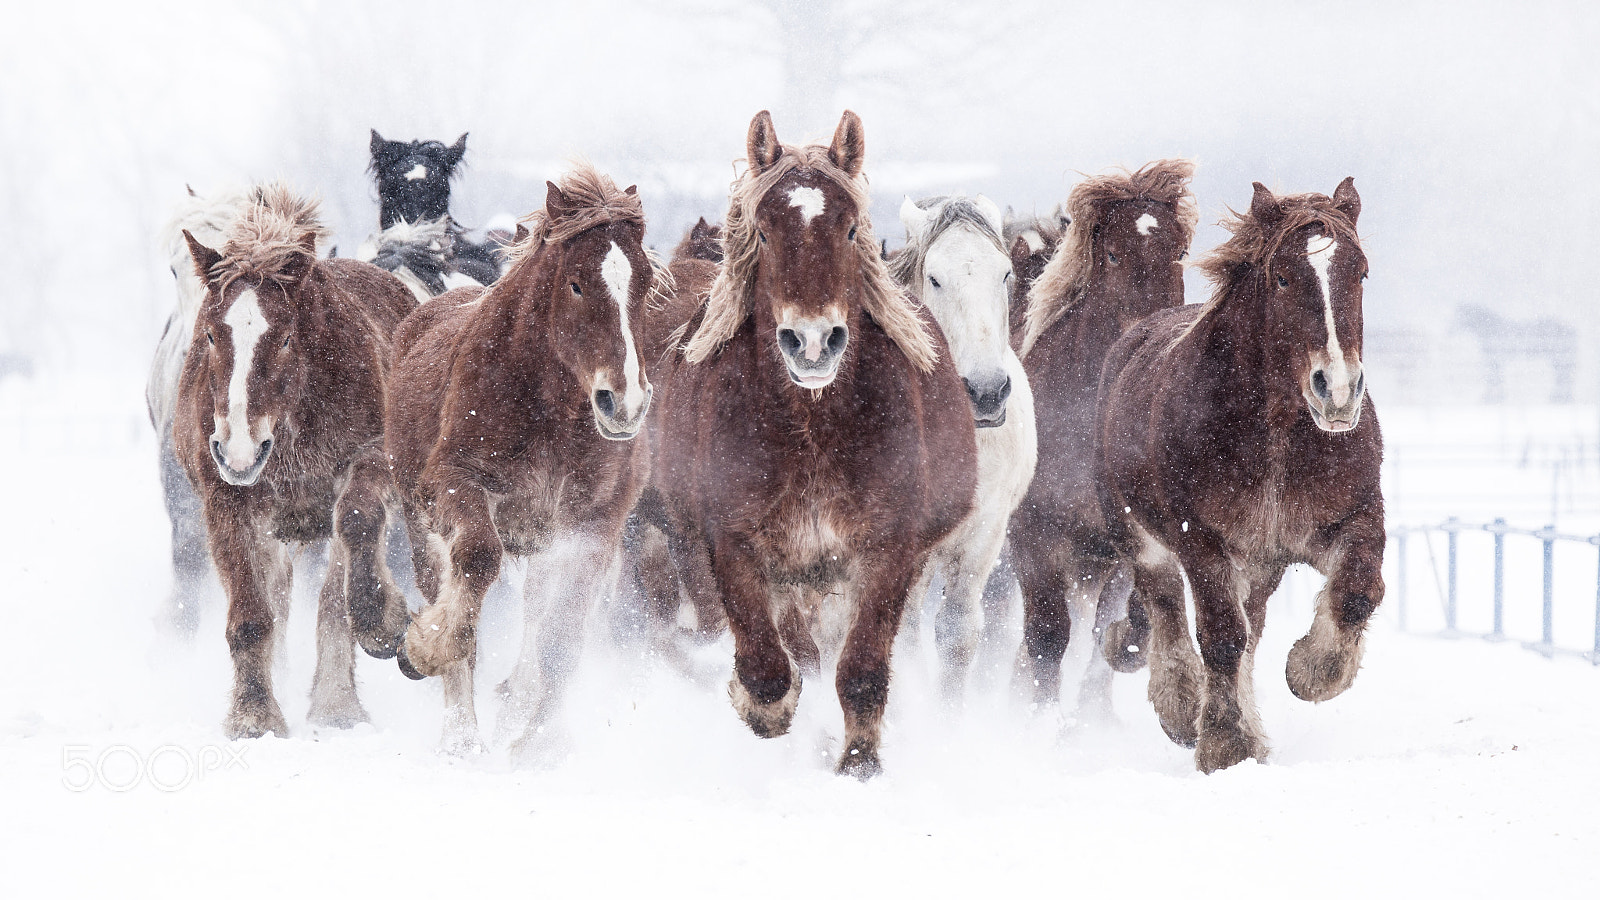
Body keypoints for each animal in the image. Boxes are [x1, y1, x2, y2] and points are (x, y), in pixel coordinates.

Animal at [175, 184, 417, 738]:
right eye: (211, 335)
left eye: (286, 337)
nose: (240, 450)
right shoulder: (228, 501)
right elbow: (252, 616)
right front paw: (254, 715)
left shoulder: (371, 462)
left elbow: (357, 524)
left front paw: (384, 621)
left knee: (332, 596)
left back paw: (336, 704)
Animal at [386, 164, 655, 757]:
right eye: (576, 283)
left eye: (646, 283)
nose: (623, 403)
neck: (549, 410)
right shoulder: (455, 484)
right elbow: (479, 560)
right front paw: (424, 648)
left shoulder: (593, 526)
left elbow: (564, 631)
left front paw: (536, 741)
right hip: (420, 523)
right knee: (448, 584)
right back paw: (461, 732)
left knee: (535, 609)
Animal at [645, 110, 977, 778]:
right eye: (764, 232)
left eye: (850, 229)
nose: (814, 342)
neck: (813, 431)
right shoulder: (735, 545)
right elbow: (767, 669)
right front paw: (761, 705)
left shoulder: (889, 549)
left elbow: (863, 671)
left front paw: (858, 763)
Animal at [1007, 160, 1197, 713]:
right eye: (1111, 252)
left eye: (1180, 251)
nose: (1151, 335)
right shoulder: (1033, 537)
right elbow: (1047, 637)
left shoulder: (1122, 547)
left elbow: (1115, 631)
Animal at [1096, 178, 1383, 772]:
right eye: (1283, 276)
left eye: (1361, 271)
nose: (1338, 391)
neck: (1277, 435)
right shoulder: (1201, 542)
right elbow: (1221, 637)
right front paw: (1225, 744)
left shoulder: (1356, 516)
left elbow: (1357, 593)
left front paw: (1311, 671)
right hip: (1142, 538)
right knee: (1165, 607)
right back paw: (1182, 706)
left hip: (1258, 565)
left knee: (1250, 629)